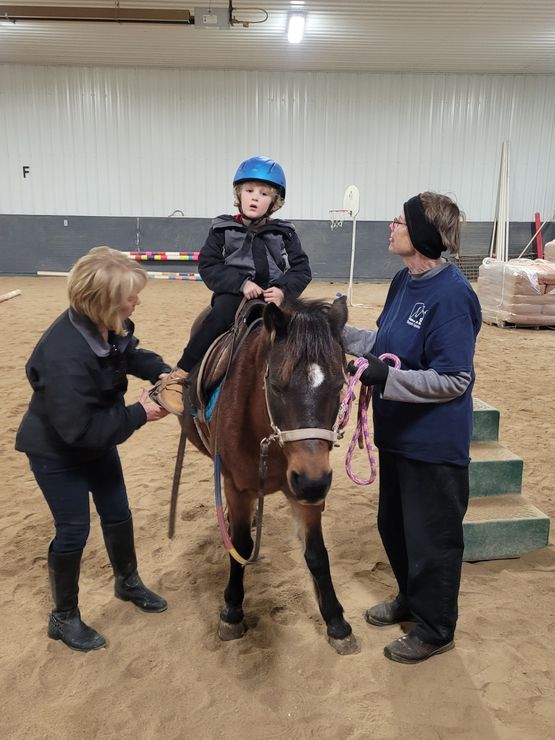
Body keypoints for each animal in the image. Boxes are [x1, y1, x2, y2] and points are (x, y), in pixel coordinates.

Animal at [180, 294, 358, 652]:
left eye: (339, 386)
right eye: (276, 386)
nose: (314, 483)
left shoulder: (306, 490)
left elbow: (317, 554)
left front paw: (336, 622)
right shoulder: (237, 487)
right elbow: (239, 547)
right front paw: (232, 611)